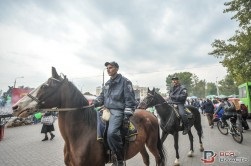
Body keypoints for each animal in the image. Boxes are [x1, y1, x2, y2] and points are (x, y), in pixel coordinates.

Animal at [11, 67, 166, 166]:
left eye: (45, 86)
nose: (16, 107)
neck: (81, 134)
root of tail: (150, 114)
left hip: (152, 144)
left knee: (158, 159)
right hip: (141, 145)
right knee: (146, 159)